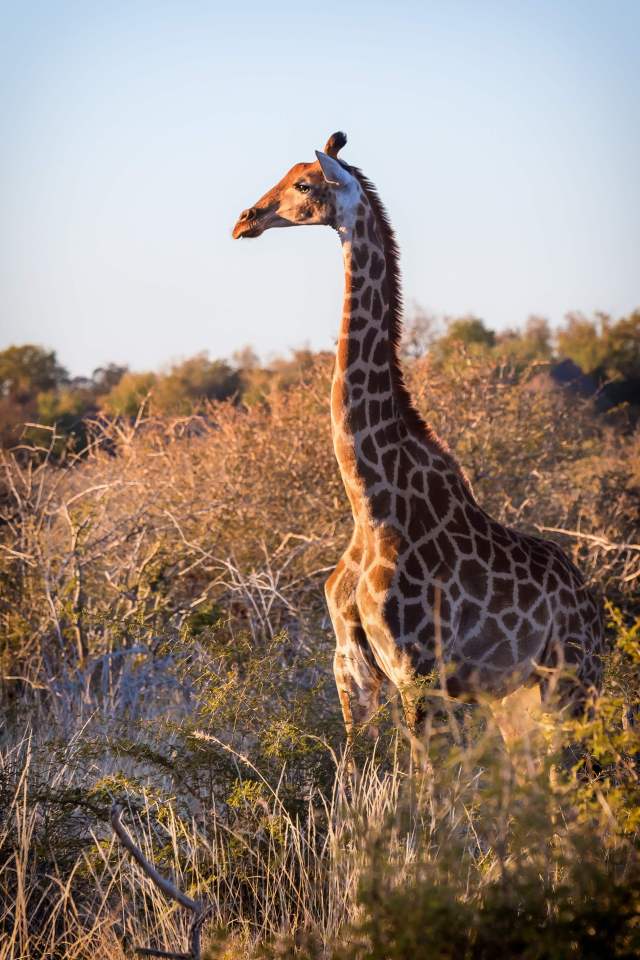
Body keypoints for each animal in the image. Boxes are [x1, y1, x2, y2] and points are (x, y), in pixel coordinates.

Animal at [232, 131, 604, 752]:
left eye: (304, 184)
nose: (244, 220)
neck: (369, 501)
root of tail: (590, 595)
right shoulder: (351, 669)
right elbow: (353, 772)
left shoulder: (418, 673)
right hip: (519, 697)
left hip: (573, 678)